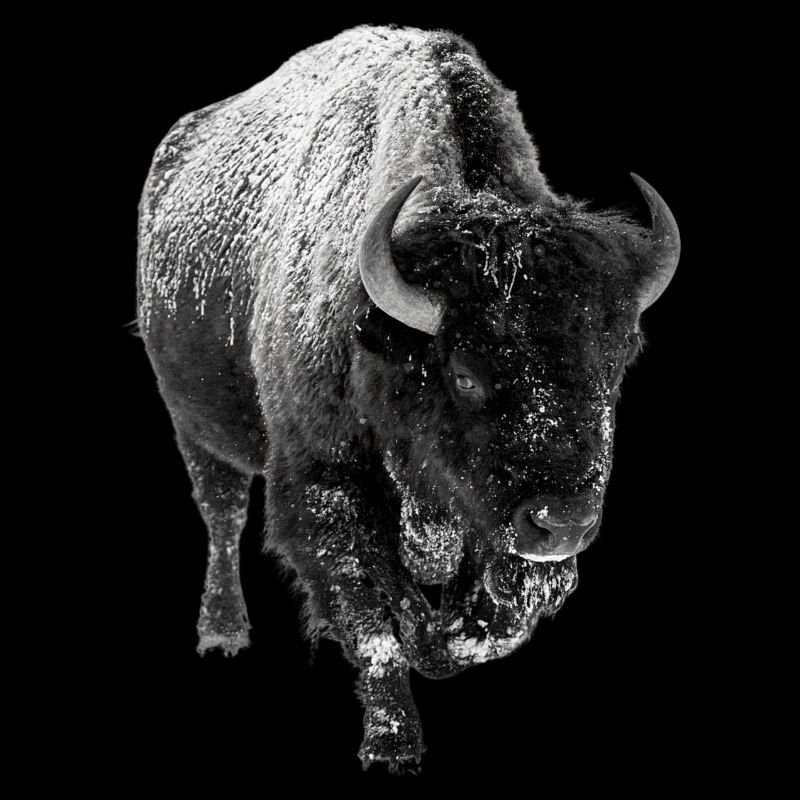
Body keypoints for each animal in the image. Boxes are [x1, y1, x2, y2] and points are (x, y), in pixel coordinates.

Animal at [136, 24, 680, 772]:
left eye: (618, 359)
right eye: (466, 373)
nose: (563, 523)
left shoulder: (492, 522)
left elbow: (492, 618)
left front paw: (441, 636)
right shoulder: (325, 488)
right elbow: (374, 620)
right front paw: (393, 746)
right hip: (193, 425)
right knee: (221, 515)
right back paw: (222, 633)